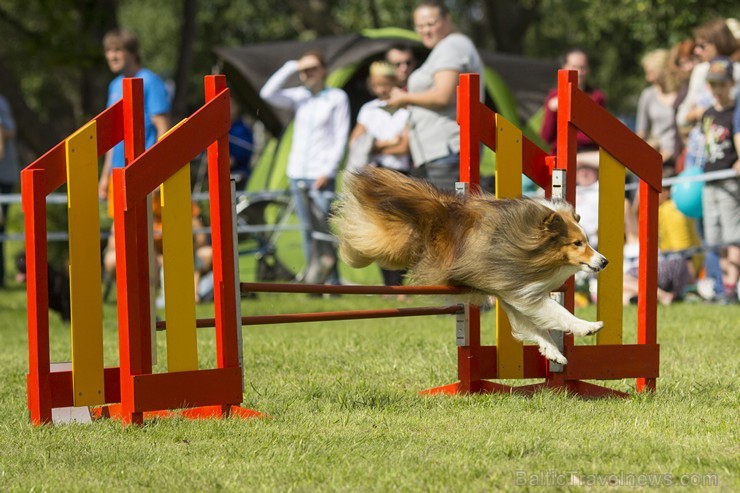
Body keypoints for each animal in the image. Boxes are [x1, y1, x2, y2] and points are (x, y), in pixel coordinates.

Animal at [330, 167, 608, 364]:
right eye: (577, 243)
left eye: (587, 241)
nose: (604, 261)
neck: (523, 239)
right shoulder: (516, 287)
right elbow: (557, 312)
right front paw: (588, 327)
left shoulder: (510, 292)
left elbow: (534, 325)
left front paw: (553, 353)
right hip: (388, 245)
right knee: (357, 238)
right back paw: (346, 252)